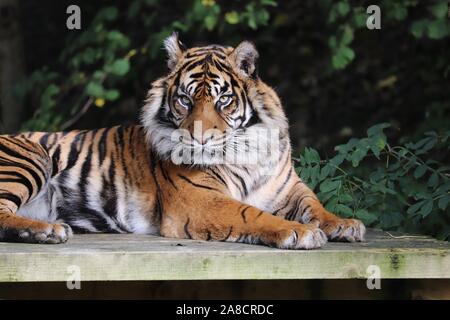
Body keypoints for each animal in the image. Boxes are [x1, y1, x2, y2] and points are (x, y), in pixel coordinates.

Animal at [0, 33, 364, 248]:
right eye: (185, 100)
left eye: (223, 100)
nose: (198, 139)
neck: (246, 150)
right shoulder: (200, 200)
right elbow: (251, 214)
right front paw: (300, 232)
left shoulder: (288, 187)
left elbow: (314, 205)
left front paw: (344, 225)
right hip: (30, 155)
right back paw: (48, 230)